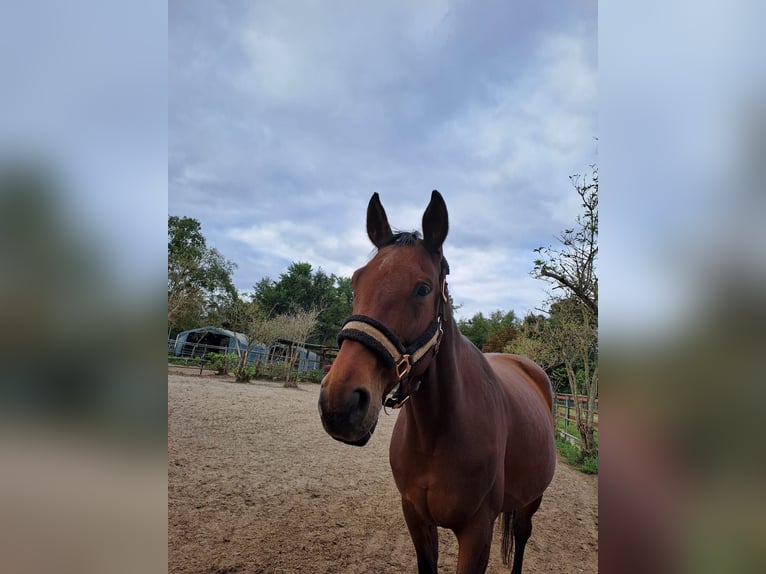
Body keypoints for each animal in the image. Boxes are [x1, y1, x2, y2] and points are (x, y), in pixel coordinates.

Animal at [318, 190, 556, 573]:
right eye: (356, 281)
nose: (340, 403)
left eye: (423, 288)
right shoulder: (416, 518)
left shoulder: (477, 532)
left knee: (521, 536)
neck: (438, 432)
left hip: (533, 499)